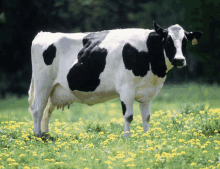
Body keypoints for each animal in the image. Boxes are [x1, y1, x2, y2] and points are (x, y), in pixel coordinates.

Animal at [28, 21, 203, 137]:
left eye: (185, 41)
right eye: (168, 41)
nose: (180, 60)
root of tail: (43, 34)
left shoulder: (147, 92)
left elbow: (146, 116)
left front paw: (147, 136)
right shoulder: (126, 89)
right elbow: (128, 116)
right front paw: (127, 137)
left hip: (55, 89)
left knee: (47, 112)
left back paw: (47, 135)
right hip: (43, 84)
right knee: (37, 109)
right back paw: (38, 136)